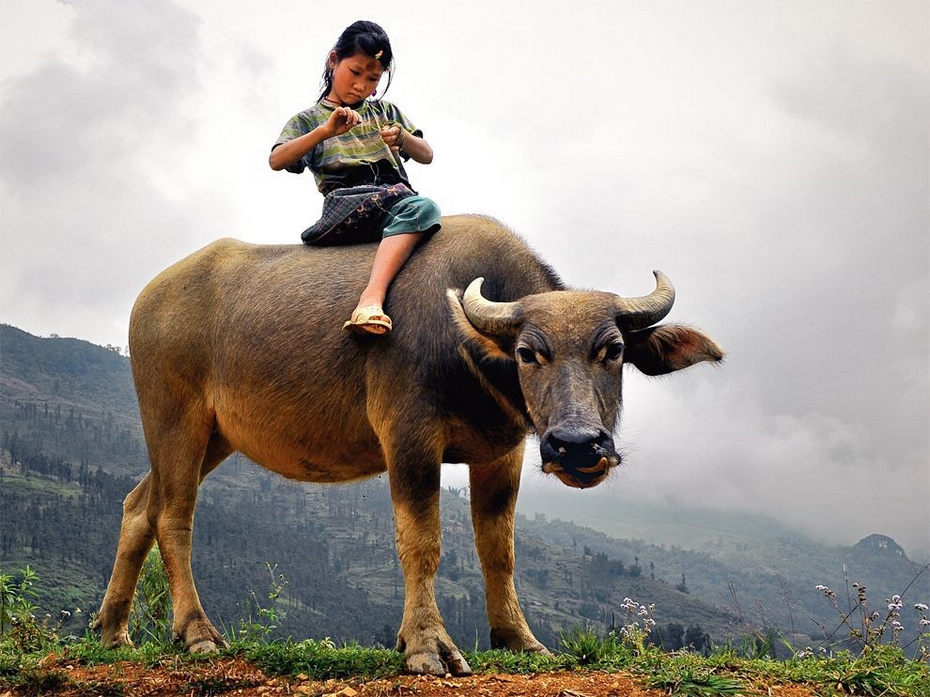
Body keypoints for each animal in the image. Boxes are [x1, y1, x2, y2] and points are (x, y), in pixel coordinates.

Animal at [94, 216, 720, 676]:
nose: (577, 446)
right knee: (174, 515)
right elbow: (422, 542)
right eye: (528, 352)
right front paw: (425, 646)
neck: (470, 354)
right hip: (174, 417)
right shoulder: (409, 438)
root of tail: (149, 298)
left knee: (138, 506)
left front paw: (519, 638)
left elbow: (499, 547)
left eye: (613, 350)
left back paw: (111, 631)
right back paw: (197, 633)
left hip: (215, 436)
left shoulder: (503, 451)